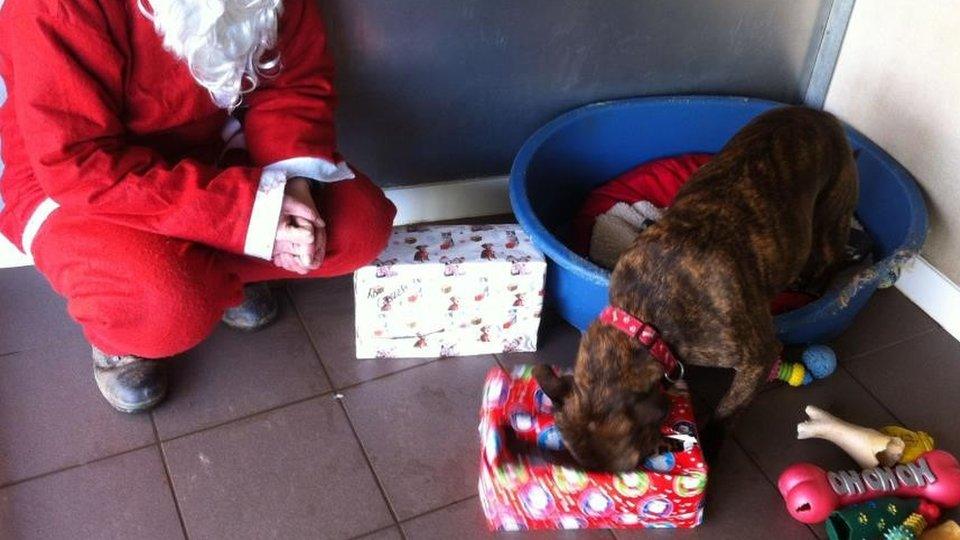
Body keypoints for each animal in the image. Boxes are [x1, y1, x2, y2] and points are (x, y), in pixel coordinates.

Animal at [536, 107, 860, 470]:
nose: (665, 451)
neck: (644, 319)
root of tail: (820, 115)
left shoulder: (756, 359)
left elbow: (728, 409)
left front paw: (711, 441)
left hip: (831, 219)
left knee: (830, 258)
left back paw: (815, 286)